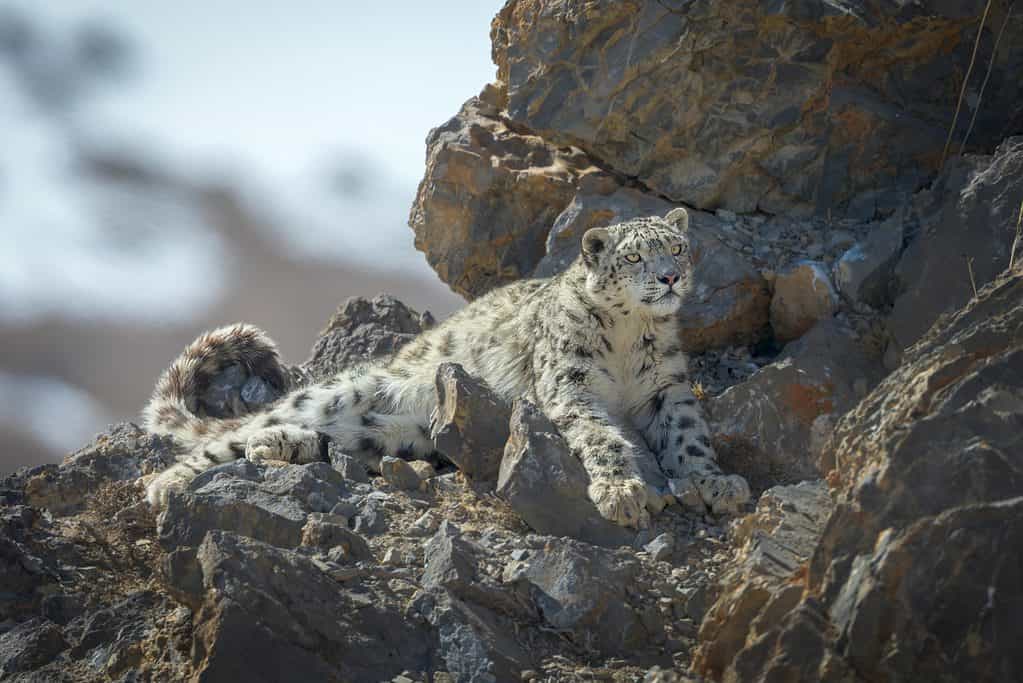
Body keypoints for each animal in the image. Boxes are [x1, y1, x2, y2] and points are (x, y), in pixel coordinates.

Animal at [142, 208, 752, 527]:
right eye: (634, 256)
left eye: (678, 248)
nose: (670, 277)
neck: (630, 336)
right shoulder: (570, 385)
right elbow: (603, 436)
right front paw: (623, 491)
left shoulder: (667, 389)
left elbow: (689, 436)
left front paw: (714, 482)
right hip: (338, 395)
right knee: (217, 442)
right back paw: (167, 487)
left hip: (397, 436)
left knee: (325, 443)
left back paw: (277, 447)